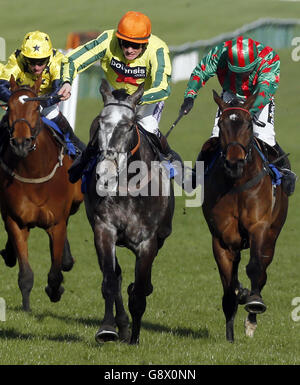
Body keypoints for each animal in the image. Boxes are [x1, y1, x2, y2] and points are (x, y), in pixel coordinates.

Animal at [0, 76, 83, 312]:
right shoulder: (16, 221)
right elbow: (25, 273)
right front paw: (26, 307)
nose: (21, 143)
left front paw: (55, 290)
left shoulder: (56, 223)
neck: (34, 173)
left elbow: (55, 273)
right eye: (10, 107)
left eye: (36, 108)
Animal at [83, 79, 175, 344]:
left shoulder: (148, 242)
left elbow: (140, 291)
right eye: (101, 122)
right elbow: (110, 282)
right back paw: (122, 325)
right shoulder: (104, 230)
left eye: (129, 124)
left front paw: (135, 338)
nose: (105, 173)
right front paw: (108, 328)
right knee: (117, 275)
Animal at [202, 91, 288, 342]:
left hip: (273, 234)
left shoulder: (259, 227)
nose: (234, 163)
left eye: (249, 124)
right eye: (221, 124)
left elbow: (256, 267)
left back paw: (251, 316)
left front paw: (254, 302)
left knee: (263, 269)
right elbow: (228, 284)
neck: (237, 183)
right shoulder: (222, 237)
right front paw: (230, 336)